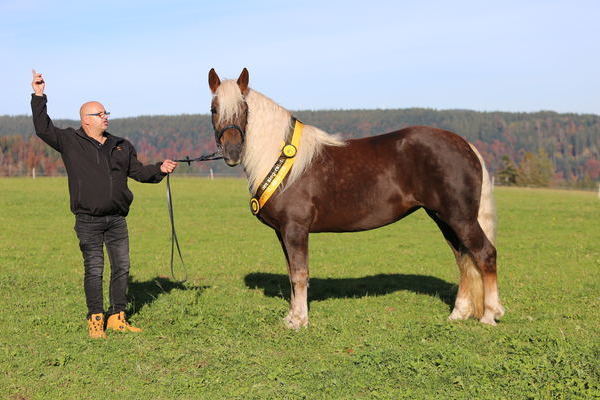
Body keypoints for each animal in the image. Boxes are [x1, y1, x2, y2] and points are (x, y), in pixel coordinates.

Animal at [209, 66, 504, 328]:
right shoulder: (282, 232)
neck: (284, 159)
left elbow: (300, 274)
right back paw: (458, 314)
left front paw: (300, 321)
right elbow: (292, 273)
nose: (232, 152)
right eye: (214, 109)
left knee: (484, 254)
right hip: (443, 218)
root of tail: (464, 145)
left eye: (244, 109)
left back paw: (490, 315)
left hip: (460, 218)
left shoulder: (295, 229)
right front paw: (292, 317)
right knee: (464, 259)